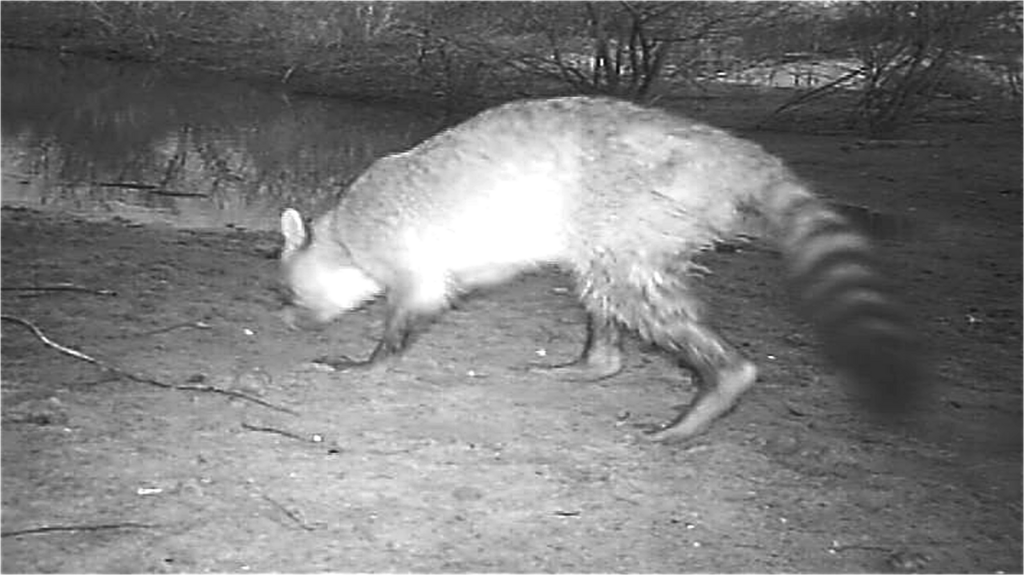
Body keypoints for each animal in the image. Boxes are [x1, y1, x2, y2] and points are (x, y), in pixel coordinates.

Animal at [279, 96, 921, 442]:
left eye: (289, 292)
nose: (291, 321)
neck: (341, 234)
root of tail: (732, 154)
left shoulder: (399, 248)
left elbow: (416, 302)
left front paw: (372, 360)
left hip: (638, 201)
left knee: (629, 290)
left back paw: (720, 383)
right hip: (630, 221)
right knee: (599, 285)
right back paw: (597, 360)